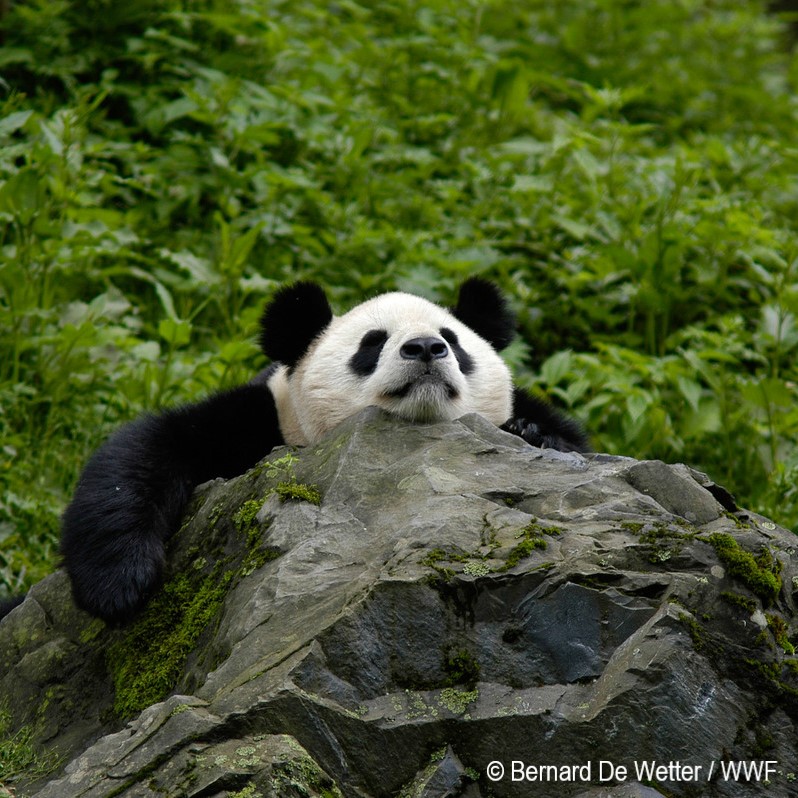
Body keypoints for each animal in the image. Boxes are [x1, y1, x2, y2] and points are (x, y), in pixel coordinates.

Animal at [12, 280, 592, 624]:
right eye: (372, 343)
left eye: (453, 338)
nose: (426, 348)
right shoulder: (261, 419)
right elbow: (146, 450)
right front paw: (120, 584)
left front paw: (533, 432)